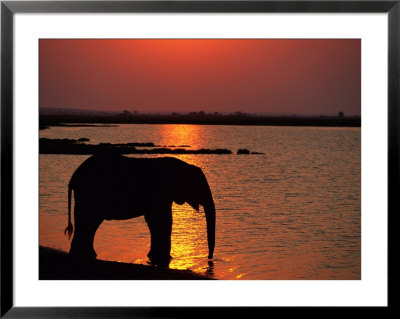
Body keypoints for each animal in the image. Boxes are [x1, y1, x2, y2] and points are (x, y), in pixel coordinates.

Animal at [65, 154, 216, 268]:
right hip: (88, 194)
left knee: (89, 224)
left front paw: (155, 257)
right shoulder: (159, 192)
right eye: (199, 186)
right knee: (88, 222)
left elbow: (155, 220)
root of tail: (74, 175)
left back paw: (86, 255)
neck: (183, 165)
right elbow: (162, 220)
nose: (209, 259)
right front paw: (163, 259)